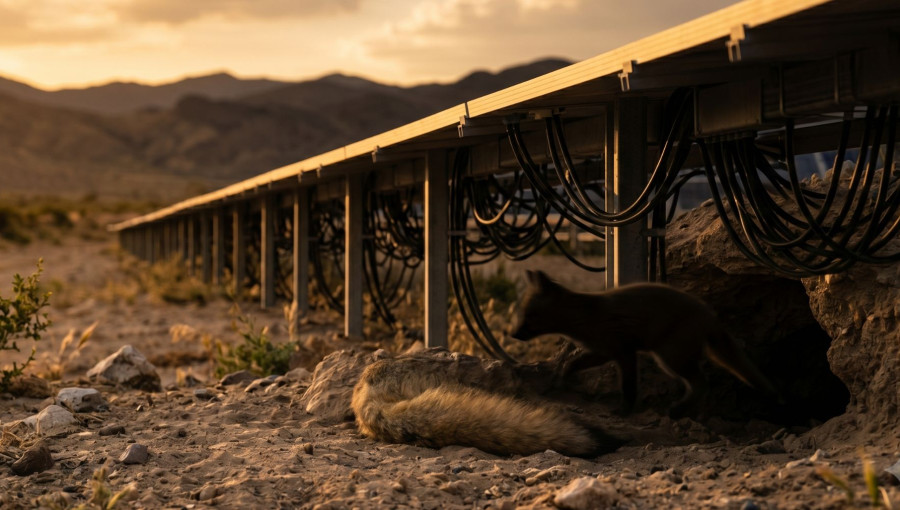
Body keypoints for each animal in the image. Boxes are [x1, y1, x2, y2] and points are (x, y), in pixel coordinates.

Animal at [510, 270, 780, 418]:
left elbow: (628, 386)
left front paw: (624, 411)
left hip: (670, 358)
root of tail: (708, 312)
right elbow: (571, 363)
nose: (513, 334)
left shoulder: (623, 352)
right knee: (701, 384)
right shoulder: (601, 351)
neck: (586, 316)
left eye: (529, 316)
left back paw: (677, 411)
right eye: (522, 314)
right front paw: (560, 381)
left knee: (703, 384)